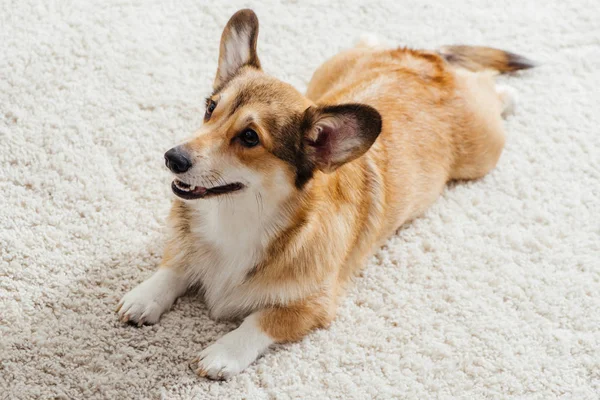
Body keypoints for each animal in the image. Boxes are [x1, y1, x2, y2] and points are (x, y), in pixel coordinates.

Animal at [116, 8, 536, 378]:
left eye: (250, 137)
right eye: (209, 108)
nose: (172, 158)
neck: (237, 217)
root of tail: (429, 60)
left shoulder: (313, 306)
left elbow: (262, 319)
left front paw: (223, 353)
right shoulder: (186, 247)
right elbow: (174, 266)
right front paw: (145, 297)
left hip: (484, 153)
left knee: (489, 88)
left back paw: (508, 97)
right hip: (323, 78)